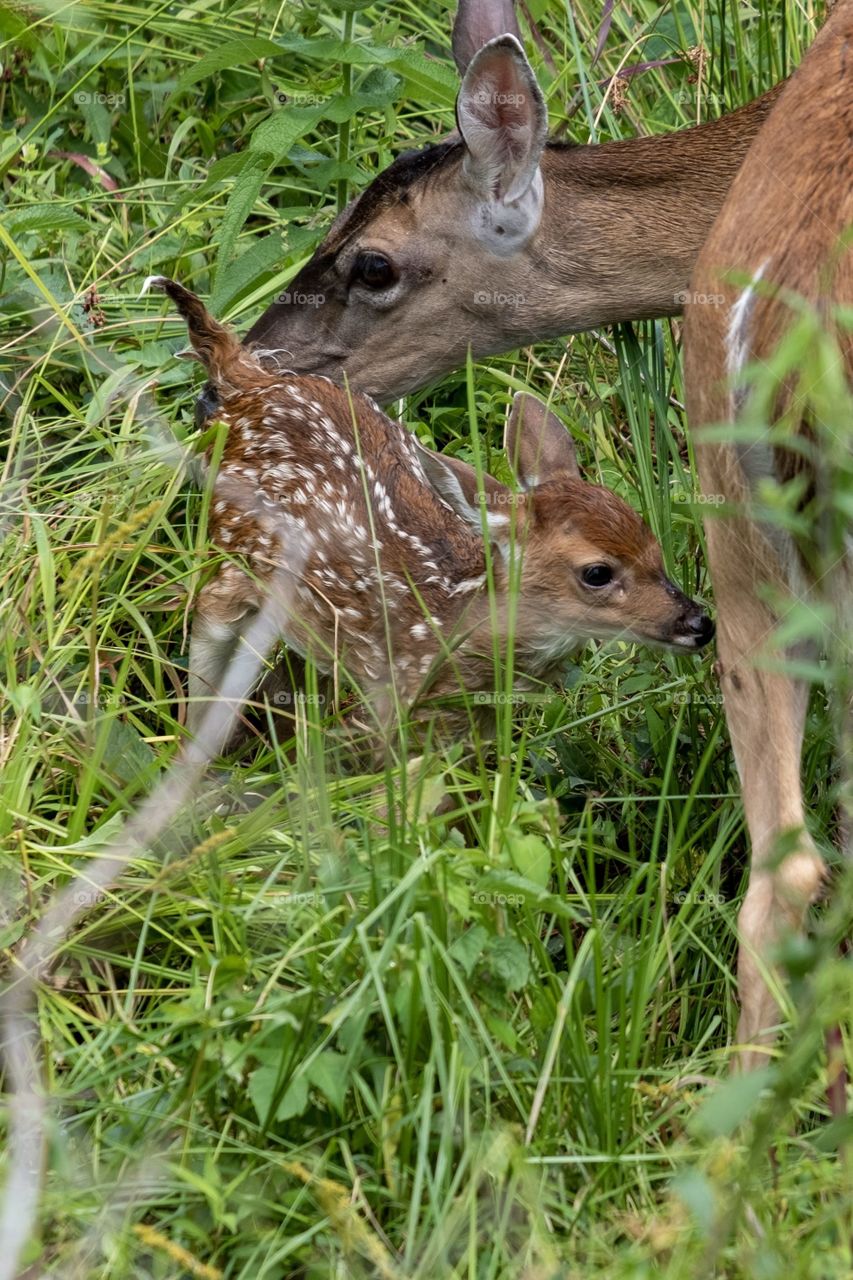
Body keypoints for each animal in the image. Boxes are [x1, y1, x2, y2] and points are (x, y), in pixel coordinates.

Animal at [144, 277, 712, 742]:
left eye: (654, 544)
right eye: (597, 572)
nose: (699, 623)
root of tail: (254, 381)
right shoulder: (388, 696)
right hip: (233, 544)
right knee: (208, 619)